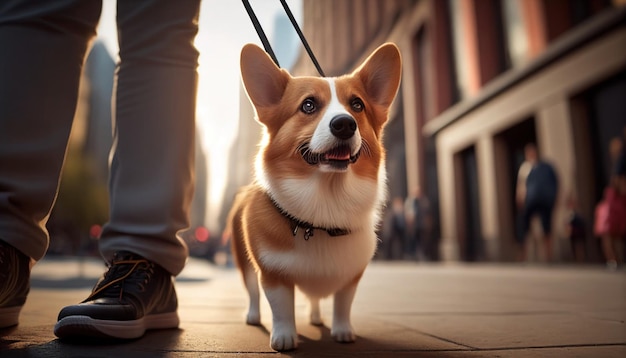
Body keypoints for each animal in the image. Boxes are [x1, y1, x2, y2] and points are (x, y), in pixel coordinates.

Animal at [228, 41, 400, 350]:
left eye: (357, 105)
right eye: (308, 105)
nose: (344, 124)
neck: (324, 206)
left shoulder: (351, 276)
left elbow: (343, 304)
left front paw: (343, 332)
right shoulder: (272, 274)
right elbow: (281, 307)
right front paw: (284, 338)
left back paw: (318, 318)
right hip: (243, 260)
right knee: (252, 291)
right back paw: (253, 316)